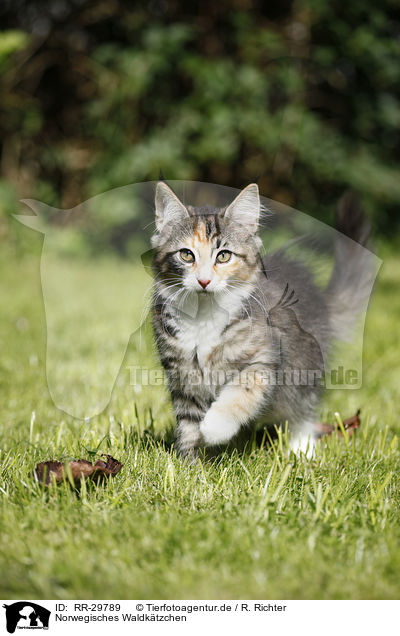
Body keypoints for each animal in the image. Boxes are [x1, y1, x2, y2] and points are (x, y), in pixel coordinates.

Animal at [151, 181, 372, 460]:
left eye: (223, 256)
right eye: (186, 255)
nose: (203, 280)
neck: (204, 314)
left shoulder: (266, 359)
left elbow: (242, 391)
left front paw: (214, 428)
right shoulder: (182, 375)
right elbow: (188, 423)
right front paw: (189, 463)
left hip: (302, 370)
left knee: (302, 411)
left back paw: (302, 449)